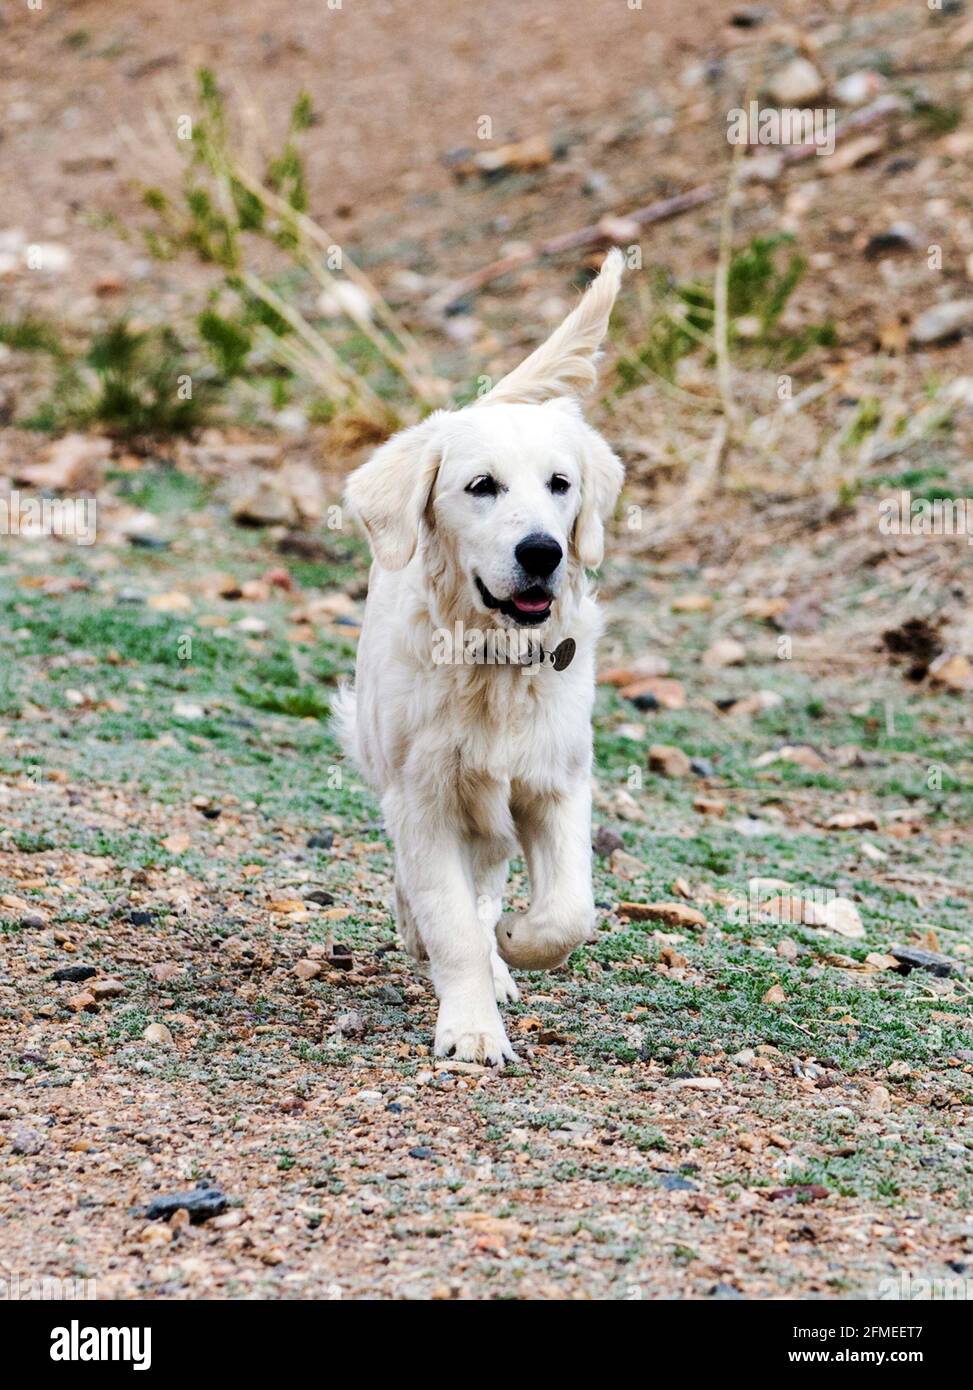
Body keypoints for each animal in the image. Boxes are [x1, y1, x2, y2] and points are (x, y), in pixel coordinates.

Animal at [334, 252, 622, 1061]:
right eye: (481, 487)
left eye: (560, 485)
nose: (542, 552)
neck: (493, 661)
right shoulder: (426, 797)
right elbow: (450, 919)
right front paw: (469, 1028)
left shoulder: (555, 782)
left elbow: (568, 911)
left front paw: (516, 942)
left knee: (488, 879)